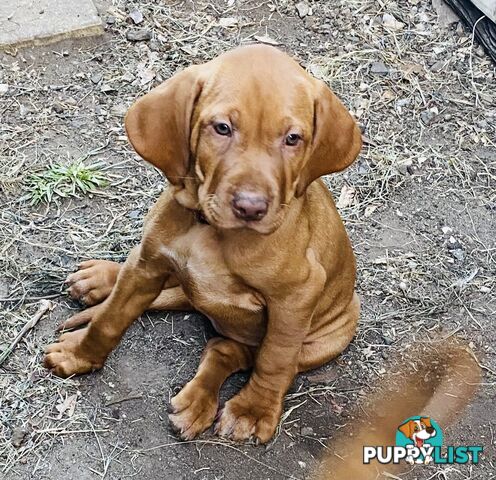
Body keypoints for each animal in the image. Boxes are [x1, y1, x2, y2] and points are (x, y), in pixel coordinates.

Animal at [44, 45, 362, 442]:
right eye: (222, 128)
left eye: (293, 138)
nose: (251, 207)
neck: (212, 232)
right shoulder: (147, 265)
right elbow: (109, 317)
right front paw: (80, 355)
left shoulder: (297, 296)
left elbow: (275, 359)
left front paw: (253, 410)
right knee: (209, 333)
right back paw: (100, 278)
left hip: (330, 336)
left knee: (235, 352)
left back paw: (199, 403)